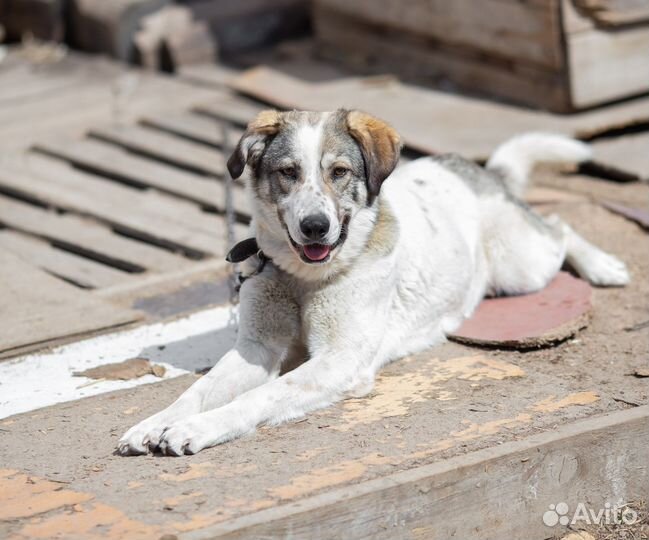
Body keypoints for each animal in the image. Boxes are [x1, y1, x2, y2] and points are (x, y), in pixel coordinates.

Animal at [117, 108, 628, 456]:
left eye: (339, 172)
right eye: (288, 173)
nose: (315, 227)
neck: (304, 278)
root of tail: (475, 169)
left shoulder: (340, 361)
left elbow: (262, 395)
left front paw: (195, 429)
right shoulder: (256, 348)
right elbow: (198, 391)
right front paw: (154, 423)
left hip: (520, 265)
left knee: (560, 226)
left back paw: (603, 265)